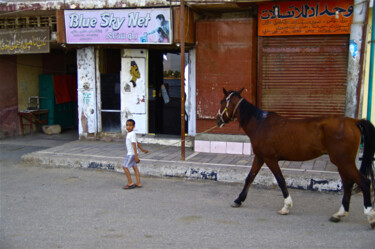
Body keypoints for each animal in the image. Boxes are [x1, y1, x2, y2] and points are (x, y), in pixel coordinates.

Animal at [217, 87, 375, 228]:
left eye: (221, 102)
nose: (218, 120)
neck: (260, 124)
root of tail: (353, 121)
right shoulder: (260, 157)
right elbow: (250, 177)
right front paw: (238, 200)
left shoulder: (270, 159)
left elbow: (280, 180)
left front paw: (286, 207)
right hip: (342, 162)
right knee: (348, 184)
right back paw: (339, 214)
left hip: (344, 162)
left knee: (364, 182)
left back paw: (369, 215)